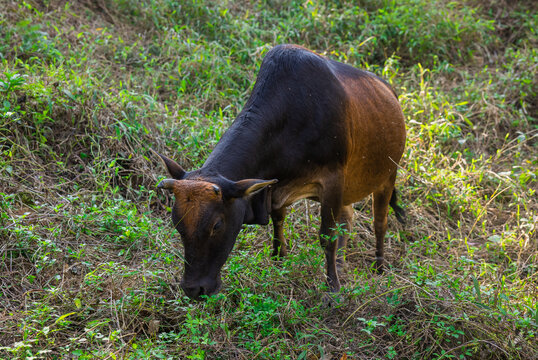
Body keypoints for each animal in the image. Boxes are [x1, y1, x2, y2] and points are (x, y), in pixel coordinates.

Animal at [153, 43, 404, 300]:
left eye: (217, 225)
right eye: (177, 224)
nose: (194, 289)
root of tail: (390, 92)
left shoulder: (332, 181)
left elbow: (327, 236)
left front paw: (332, 288)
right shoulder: (275, 187)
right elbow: (279, 220)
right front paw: (279, 259)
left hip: (387, 177)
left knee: (380, 222)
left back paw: (379, 266)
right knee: (347, 218)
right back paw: (342, 265)